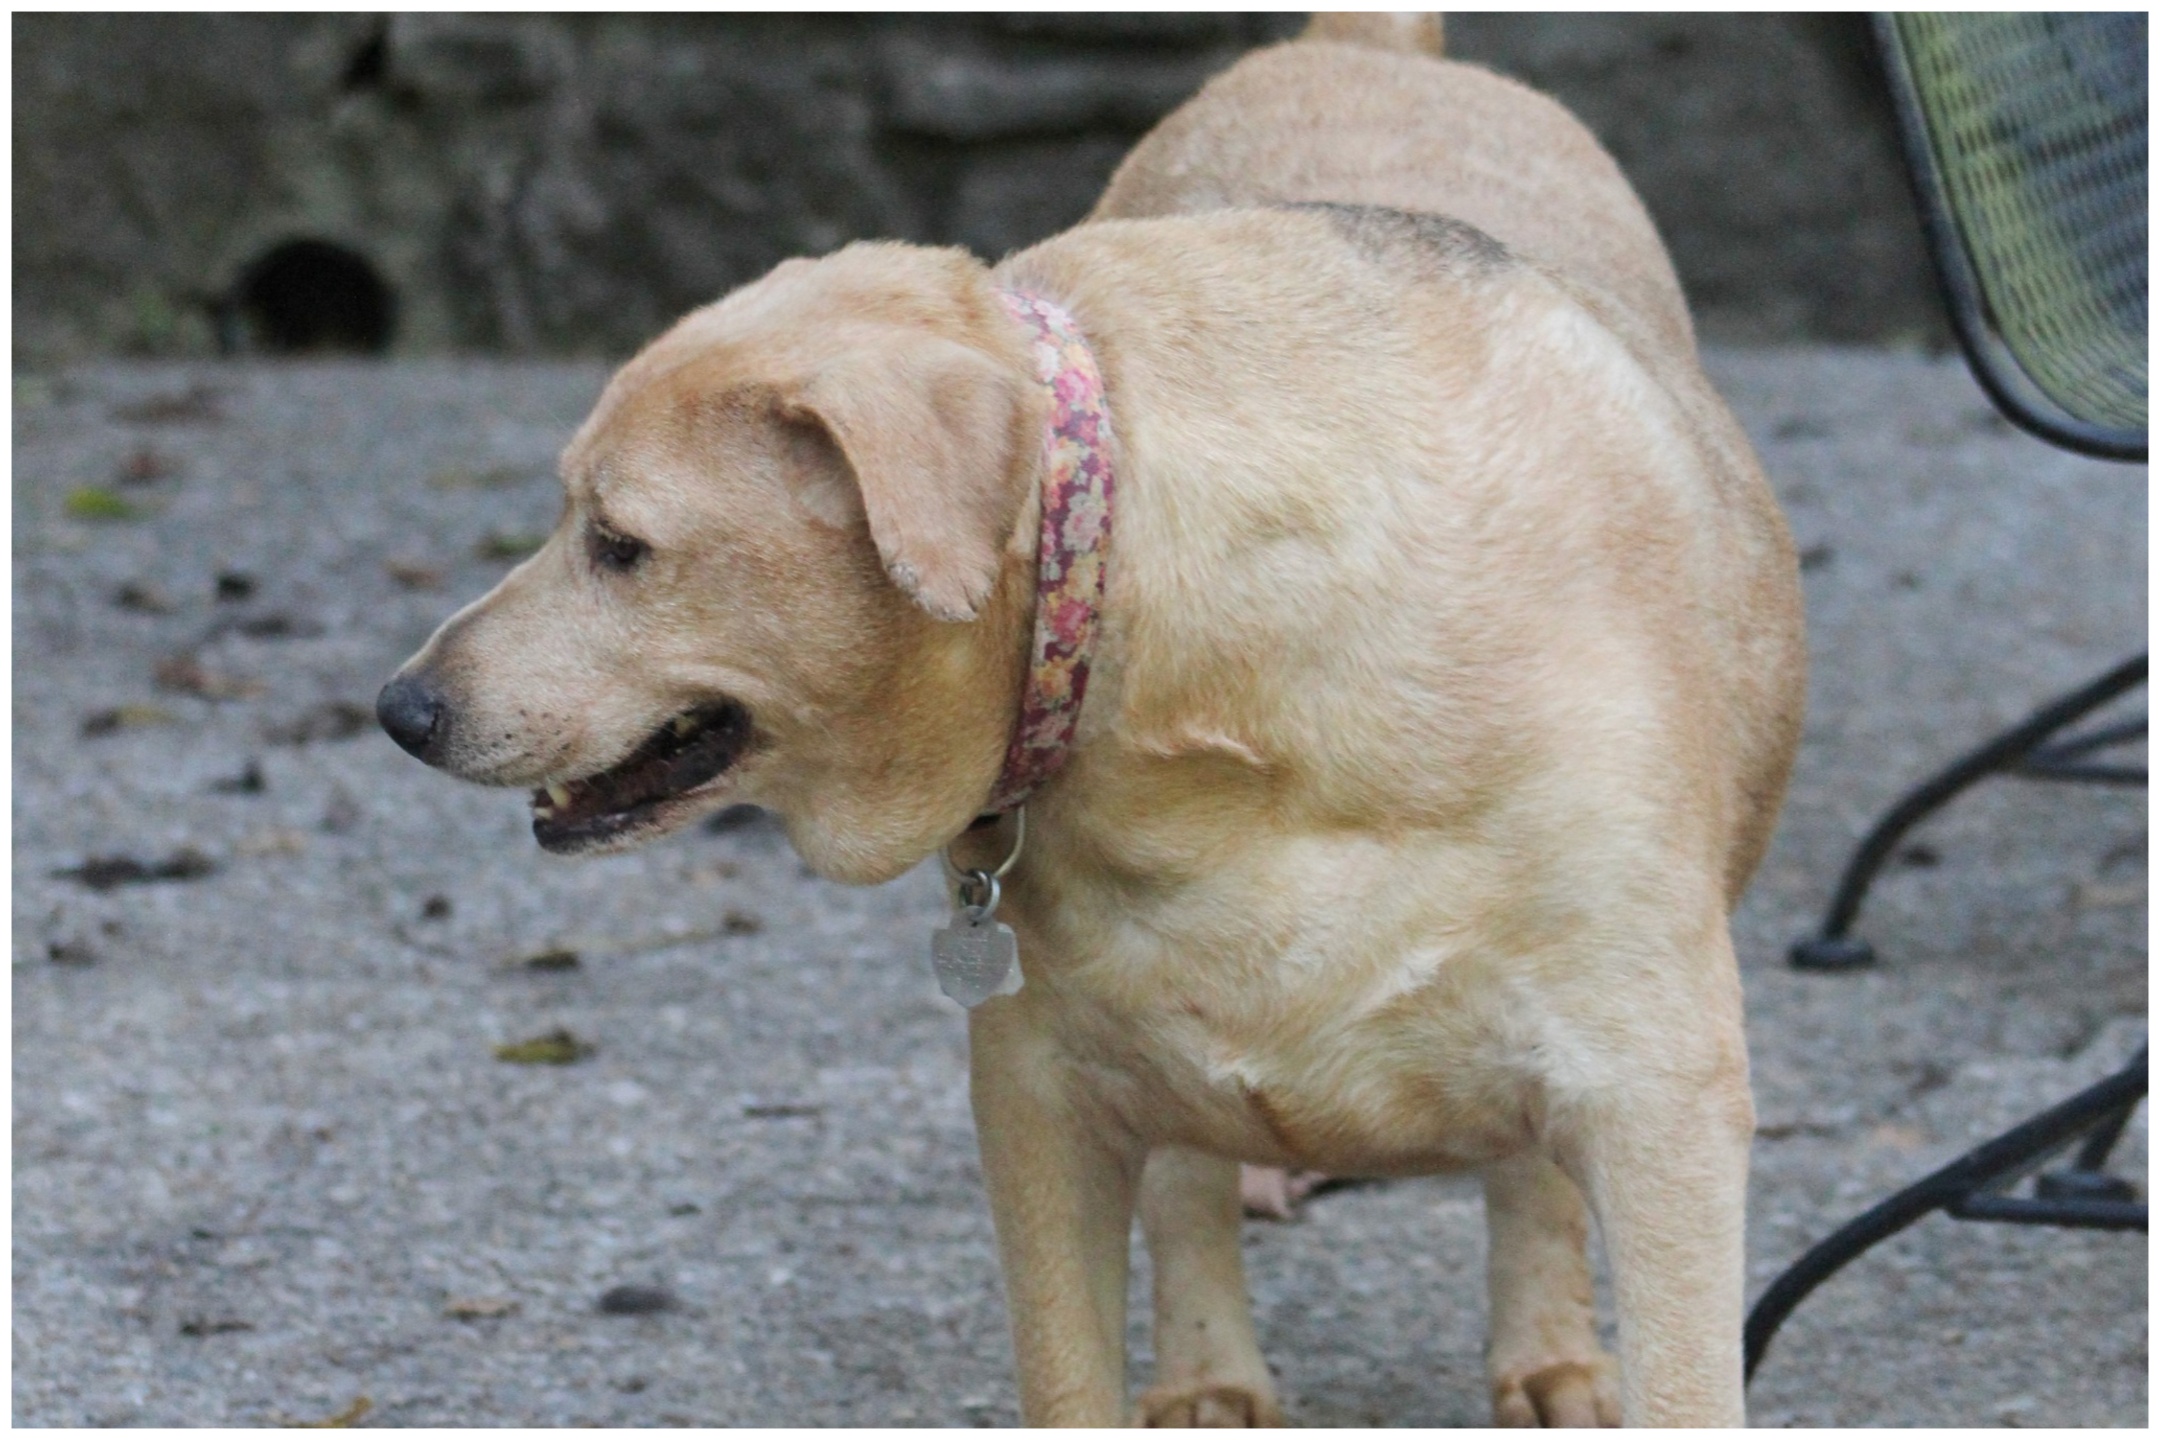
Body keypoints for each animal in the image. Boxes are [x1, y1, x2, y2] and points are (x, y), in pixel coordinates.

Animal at [384, 11, 1805, 1433]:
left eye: (620, 545)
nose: (401, 709)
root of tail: (1369, 45)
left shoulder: (1657, 1093)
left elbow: (1666, 1334)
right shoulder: (1036, 1097)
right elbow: (1074, 1355)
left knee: (1521, 1180)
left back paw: (1548, 1353)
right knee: (1192, 1181)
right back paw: (1210, 1373)